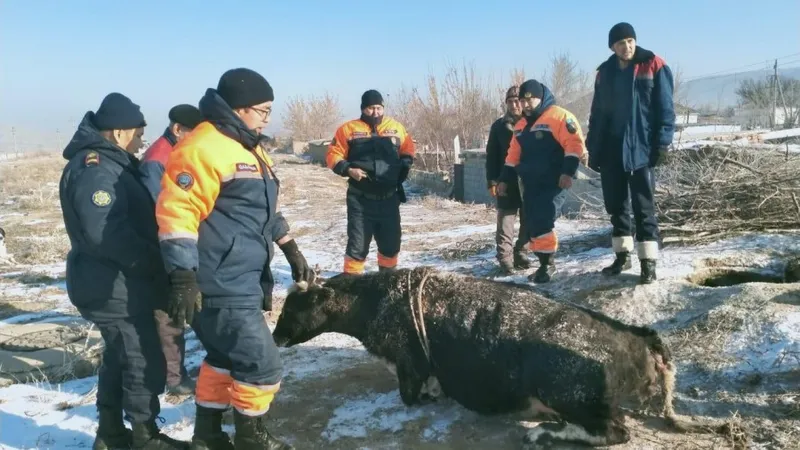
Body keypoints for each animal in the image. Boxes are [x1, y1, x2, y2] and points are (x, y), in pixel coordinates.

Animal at [272, 268, 728, 446]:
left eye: (295, 306)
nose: (275, 336)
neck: (378, 300)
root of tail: (638, 335)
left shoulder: (409, 364)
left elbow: (410, 395)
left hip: (569, 393)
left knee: (613, 432)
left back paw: (543, 433)